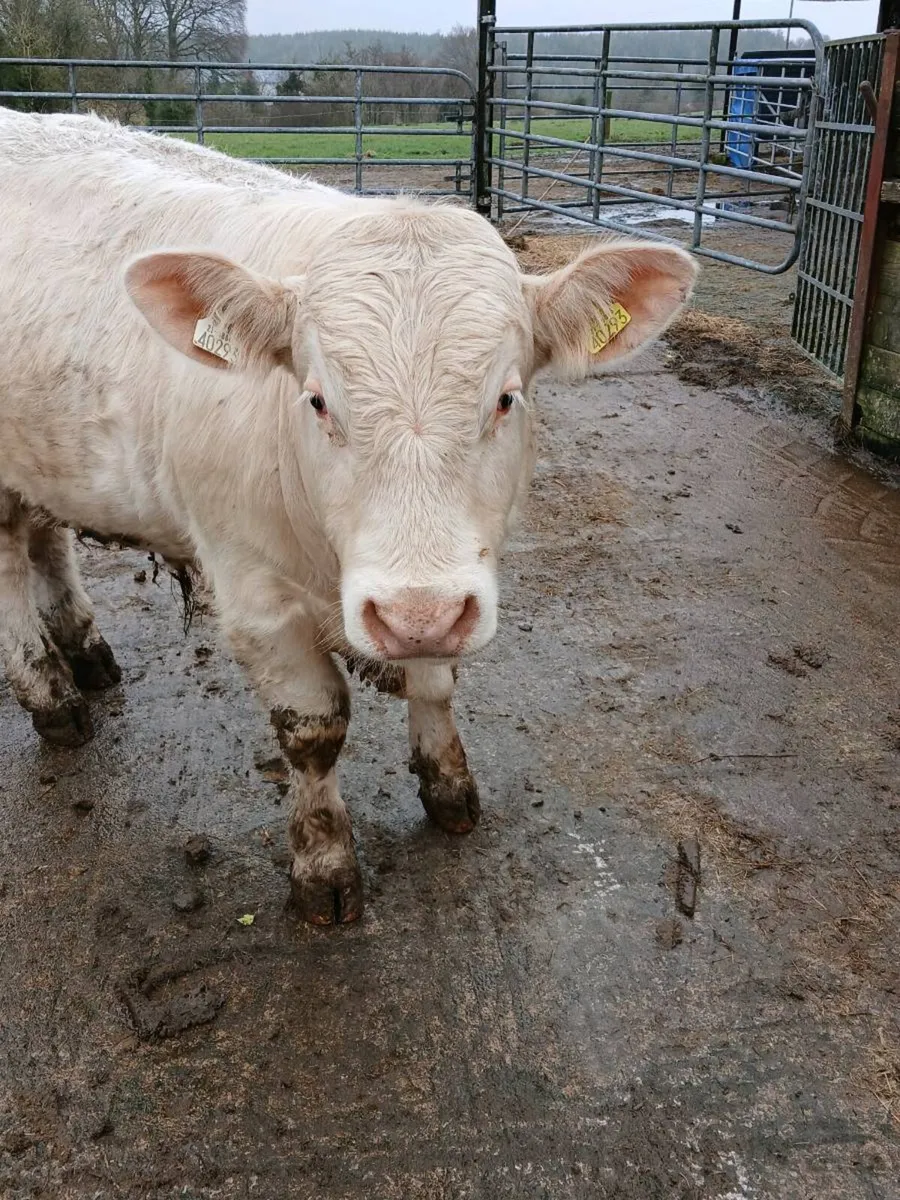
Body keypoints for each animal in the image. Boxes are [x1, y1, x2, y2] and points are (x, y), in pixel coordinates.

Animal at [0, 110, 697, 924]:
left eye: (506, 397)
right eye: (317, 400)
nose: (416, 614)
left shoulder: (439, 589)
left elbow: (435, 683)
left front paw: (449, 788)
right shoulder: (254, 593)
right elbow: (314, 730)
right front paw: (324, 864)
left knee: (46, 539)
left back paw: (86, 653)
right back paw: (53, 698)